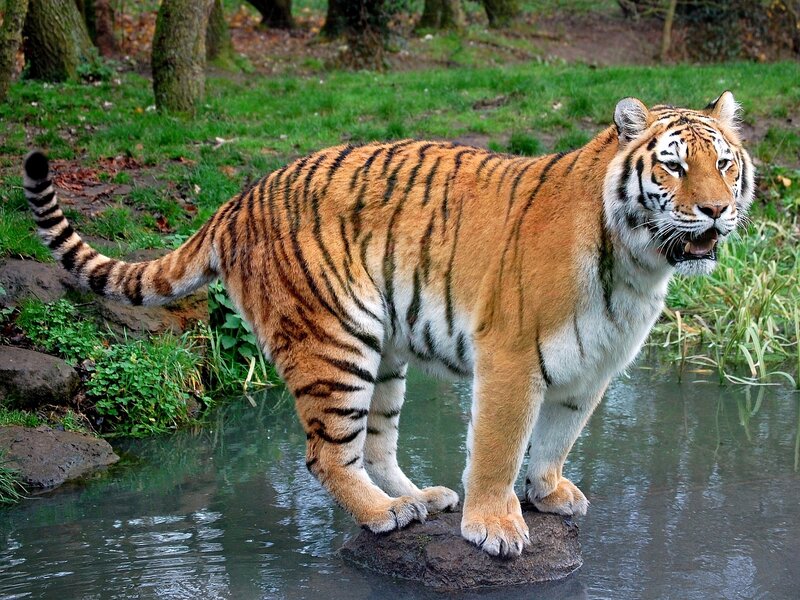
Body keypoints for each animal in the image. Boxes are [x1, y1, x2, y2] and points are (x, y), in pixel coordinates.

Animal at [22, 91, 753, 558]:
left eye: (724, 163)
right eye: (673, 165)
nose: (716, 211)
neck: (638, 264)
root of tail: (238, 198)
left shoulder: (593, 367)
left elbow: (556, 439)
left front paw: (547, 494)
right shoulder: (512, 357)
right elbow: (499, 446)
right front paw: (495, 526)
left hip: (385, 352)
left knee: (374, 444)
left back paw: (420, 499)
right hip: (334, 342)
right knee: (325, 453)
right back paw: (383, 514)